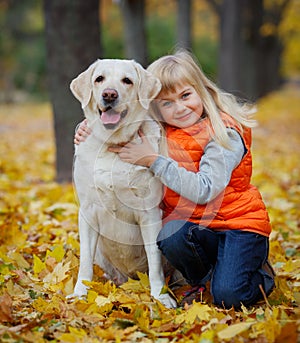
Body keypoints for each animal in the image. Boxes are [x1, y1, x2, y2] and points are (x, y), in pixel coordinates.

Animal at [68, 59, 176, 310]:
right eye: (99, 79)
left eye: (127, 80)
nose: (109, 94)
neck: (112, 145)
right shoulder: (88, 211)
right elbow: (85, 260)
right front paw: (80, 294)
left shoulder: (149, 213)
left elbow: (154, 260)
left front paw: (160, 297)